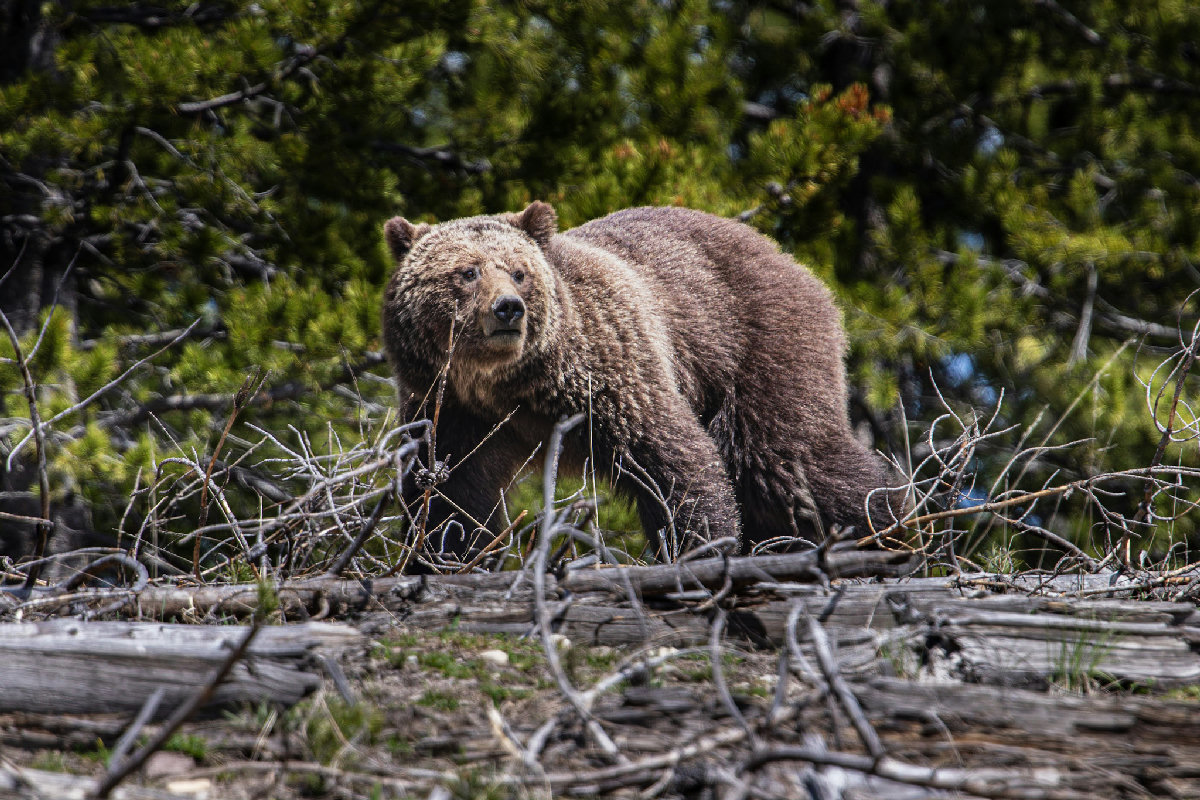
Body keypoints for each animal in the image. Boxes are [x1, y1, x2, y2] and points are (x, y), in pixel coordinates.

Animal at [380, 202, 901, 561]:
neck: (510, 385)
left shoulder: (610, 373)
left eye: (519, 271)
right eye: (467, 271)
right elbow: (451, 491)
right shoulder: (452, 408)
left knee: (789, 458)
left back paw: (887, 526)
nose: (508, 308)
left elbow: (671, 456)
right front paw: (439, 553)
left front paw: (700, 546)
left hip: (755, 344)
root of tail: (790, 260)